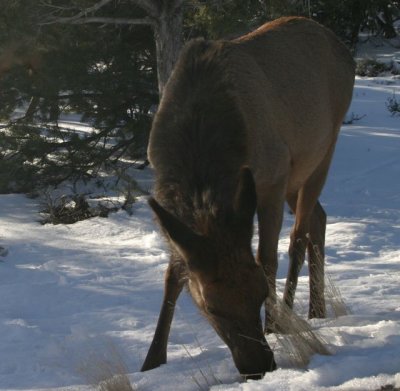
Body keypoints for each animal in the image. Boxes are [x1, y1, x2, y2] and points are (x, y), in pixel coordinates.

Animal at [141, 17, 354, 380]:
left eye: (259, 293)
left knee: (299, 236)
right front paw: (151, 360)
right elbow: (173, 275)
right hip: (299, 175)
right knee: (319, 218)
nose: (259, 365)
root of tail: (345, 51)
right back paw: (317, 310)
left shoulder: (273, 176)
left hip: (322, 150)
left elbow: (266, 258)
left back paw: (294, 312)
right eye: (211, 307)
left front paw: (273, 326)